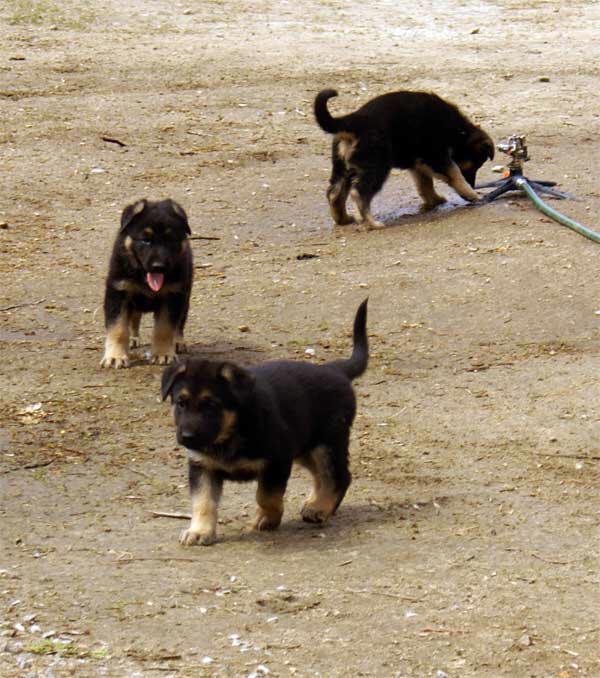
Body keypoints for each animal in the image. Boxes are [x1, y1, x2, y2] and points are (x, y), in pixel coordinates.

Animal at [101, 199, 193, 370]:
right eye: (146, 240)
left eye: (170, 240)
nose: (158, 267)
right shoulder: (119, 290)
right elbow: (118, 328)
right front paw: (115, 357)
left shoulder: (173, 294)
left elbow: (165, 328)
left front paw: (163, 354)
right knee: (134, 319)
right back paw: (133, 339)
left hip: (185, 295)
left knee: (180, 323)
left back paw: (178, 342)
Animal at [164, 300, 368, 548]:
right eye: (181, 403)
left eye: (211, 405)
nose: (187, 437)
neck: (232, 432)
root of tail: (335, 369)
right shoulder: (202, 466)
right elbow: (203, 502)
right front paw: (200, 531)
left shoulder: (277, 461)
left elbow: (266, 495)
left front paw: (268, 518)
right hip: (304, 447)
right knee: (321, 474)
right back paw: (314, 501)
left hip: (326, 444)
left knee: (339, 475)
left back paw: (321, 508)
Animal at [312, 89, 494, 231]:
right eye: (475, 166)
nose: (473, 185)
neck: (459, 132)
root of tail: (353, 121)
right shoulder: (438, 157)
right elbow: (455, 175)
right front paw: (471, 194)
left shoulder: (419, 163)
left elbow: (425, 185)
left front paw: (434, 200)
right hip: (378, 166)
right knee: (359, 193)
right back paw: (371, 223)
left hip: (344, 167)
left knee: (334, 193)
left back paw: (343, 219)